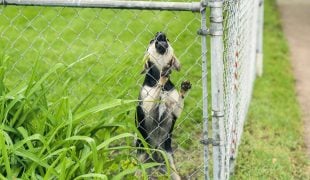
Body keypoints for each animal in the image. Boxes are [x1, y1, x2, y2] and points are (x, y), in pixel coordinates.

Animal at [136, 32, 191, 179]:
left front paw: (184, 89)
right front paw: (162, 77)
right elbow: (156, 89)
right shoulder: (146, 106)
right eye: (151, 41)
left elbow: (179, 100)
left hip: (170, 163)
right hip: (141, 161)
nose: (160, 33)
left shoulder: (174, 111)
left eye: (168, 39)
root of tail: (155, 159)